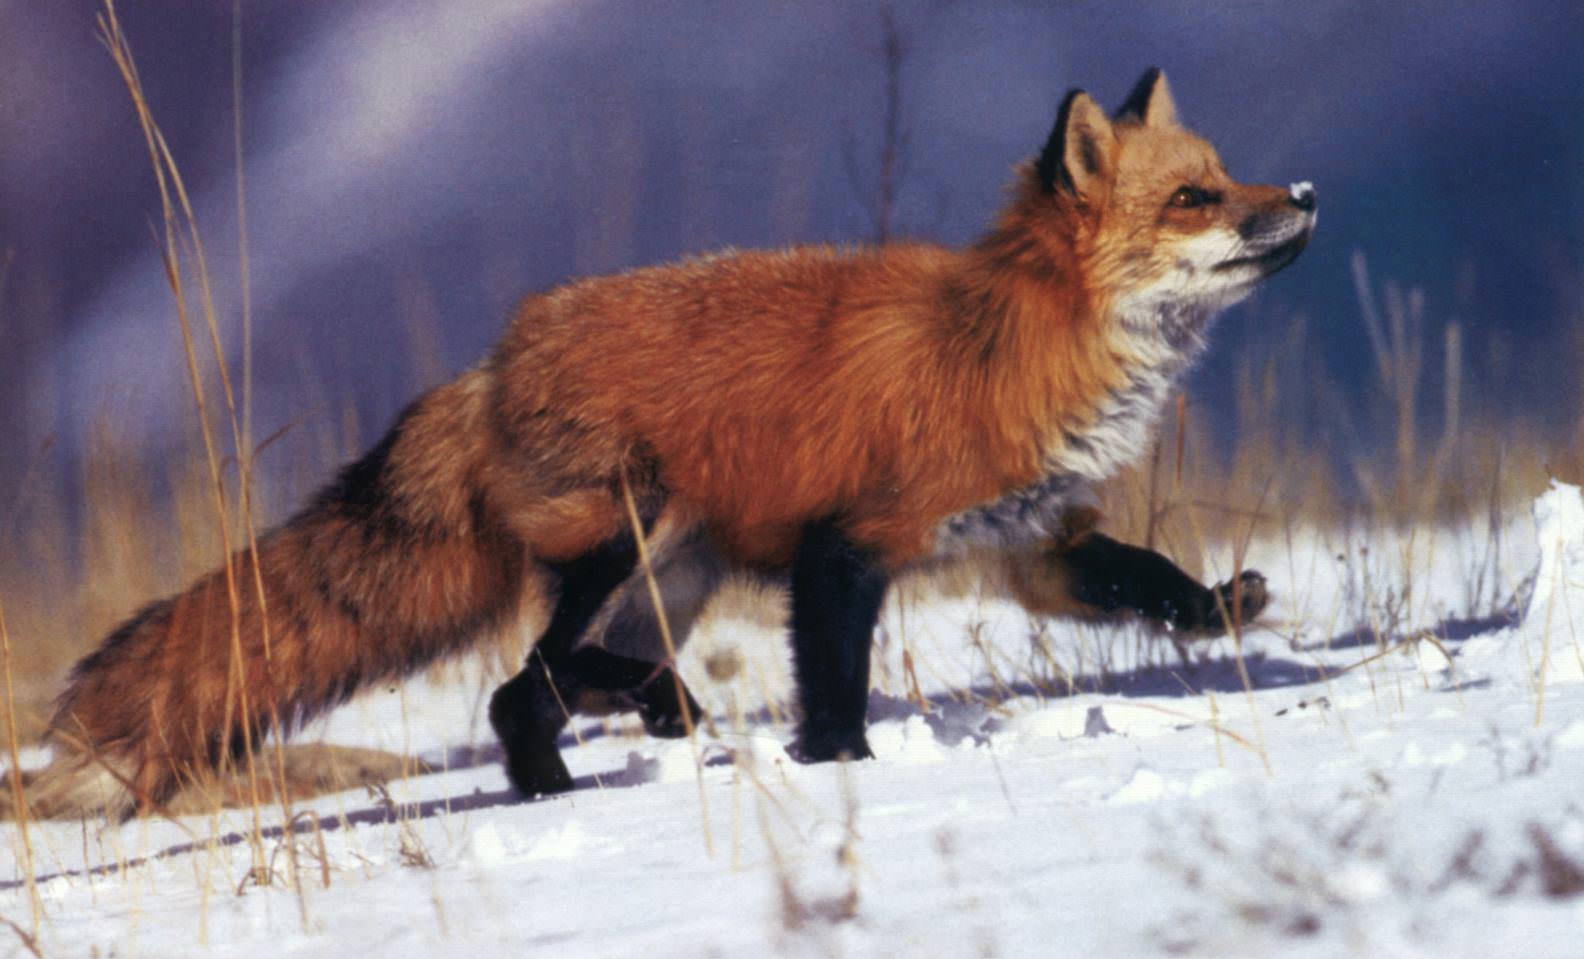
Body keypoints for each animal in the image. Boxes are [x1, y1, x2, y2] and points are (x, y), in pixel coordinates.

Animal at [14, 67, 1314, 819]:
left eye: (1228, 175)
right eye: (1195, 198)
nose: (1302, 194)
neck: (1008, 341)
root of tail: (490, 363)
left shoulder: (1028, 538)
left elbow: (1148, 577)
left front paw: (1223, 607)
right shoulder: (846, 542)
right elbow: (833, 677)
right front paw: (840, 767)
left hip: (667, 579)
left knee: (524, 694)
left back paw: (561, 787)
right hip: (628, 538)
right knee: (531, 670)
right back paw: (641, 715)